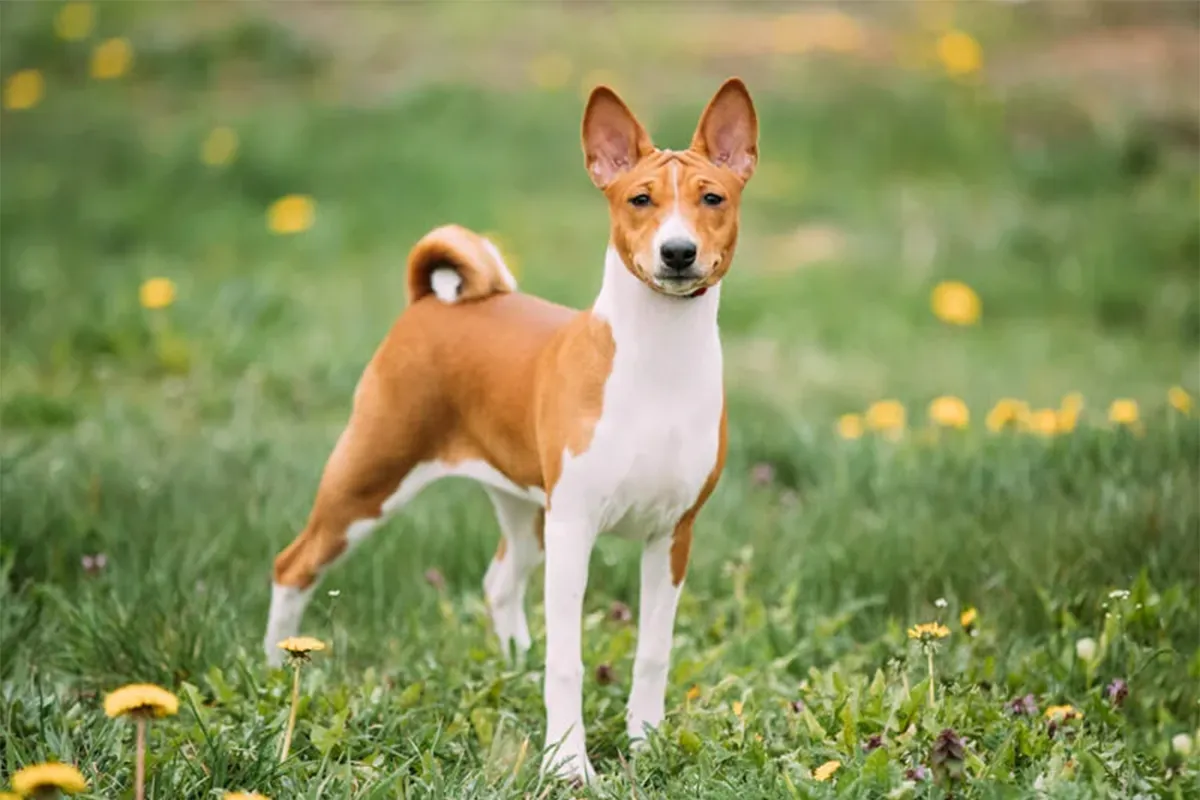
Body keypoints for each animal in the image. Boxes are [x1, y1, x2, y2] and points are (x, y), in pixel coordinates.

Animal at [265, 76, 758, 782]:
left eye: (711, 198)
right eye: (640, 199)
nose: (677, 252)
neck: (657, 363)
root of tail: (431, 302)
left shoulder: (671, 535)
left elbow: (653, 654)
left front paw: (646, 743)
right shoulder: (577, 526)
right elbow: (568, 662)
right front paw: (569, 764)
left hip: (525, 511)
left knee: (499, 581)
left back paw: (515, 665)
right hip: (368, 481)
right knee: (293, 565)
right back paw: (275, 673)